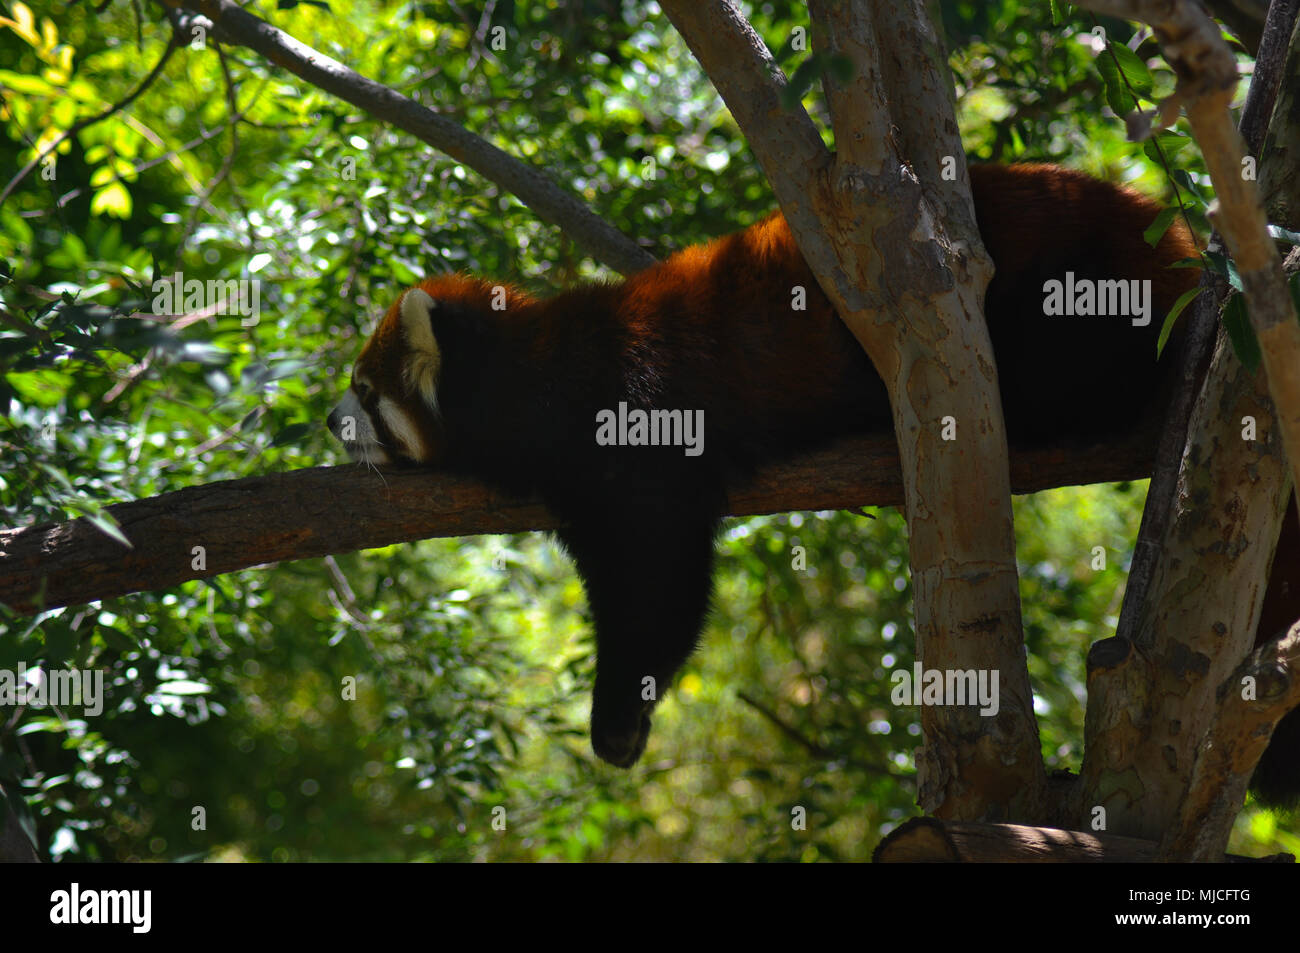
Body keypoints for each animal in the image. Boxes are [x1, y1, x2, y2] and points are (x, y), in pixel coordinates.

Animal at [327, 163, 1300, 805]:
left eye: (366, 391)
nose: (329, 423)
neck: (540, 368)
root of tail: (1172, 237)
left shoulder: (637, 425)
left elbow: (658, 578)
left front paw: (616, 715)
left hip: (1073, 282)